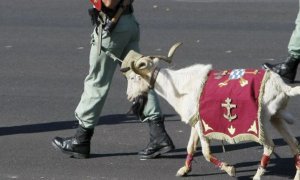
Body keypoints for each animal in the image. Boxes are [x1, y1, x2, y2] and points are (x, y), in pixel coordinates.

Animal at [120, 43, 300, 179]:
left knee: (269, 146)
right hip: (276, 117)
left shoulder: (202, 126)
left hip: (260, 122)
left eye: (133, 78)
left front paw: (229, 169)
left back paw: (256, 176)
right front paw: (184, 170)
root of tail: (282, 87)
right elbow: (190, 148)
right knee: (294, 145)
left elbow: (206, 153)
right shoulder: (195, 122)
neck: (179, 86)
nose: (128, 96)